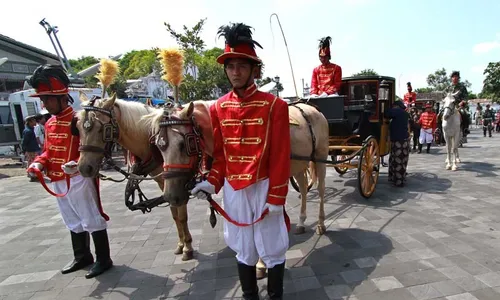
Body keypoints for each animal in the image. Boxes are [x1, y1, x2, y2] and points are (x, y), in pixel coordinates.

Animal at [75, 93, 196, 260]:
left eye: (102, 130)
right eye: (78, 127)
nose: (84, 168)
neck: (151, 143)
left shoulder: (179, 183)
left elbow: (182, 215)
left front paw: (188, 247)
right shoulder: (164, 183)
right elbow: (175, 214)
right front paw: (181, 244)